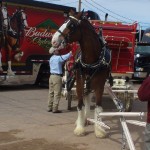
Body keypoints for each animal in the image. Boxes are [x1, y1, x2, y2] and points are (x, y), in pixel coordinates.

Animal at [51, 9, 111, 138]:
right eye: (64, 21)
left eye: (71, 25)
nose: (53, 40)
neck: (91, 60)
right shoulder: (79, 81)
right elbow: (80, 105)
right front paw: (79, 127)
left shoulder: (100, 84)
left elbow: (98, 107)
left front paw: (99, 129)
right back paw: (83, 120)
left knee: (88, 98)